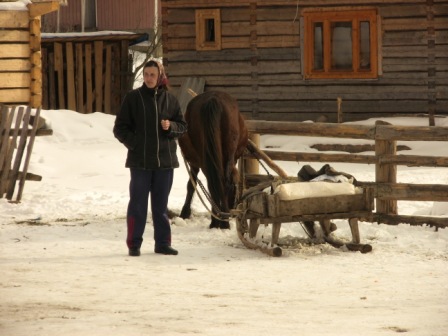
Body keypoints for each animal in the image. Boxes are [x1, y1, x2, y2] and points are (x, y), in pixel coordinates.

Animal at [178, 90, 248, 230]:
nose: (233, 209)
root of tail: (213, 99)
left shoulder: (195, 163)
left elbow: (192, 185)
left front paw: (185, 212)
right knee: (221, 182)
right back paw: (223, 221)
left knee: (214, 182)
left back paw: (217, 220)